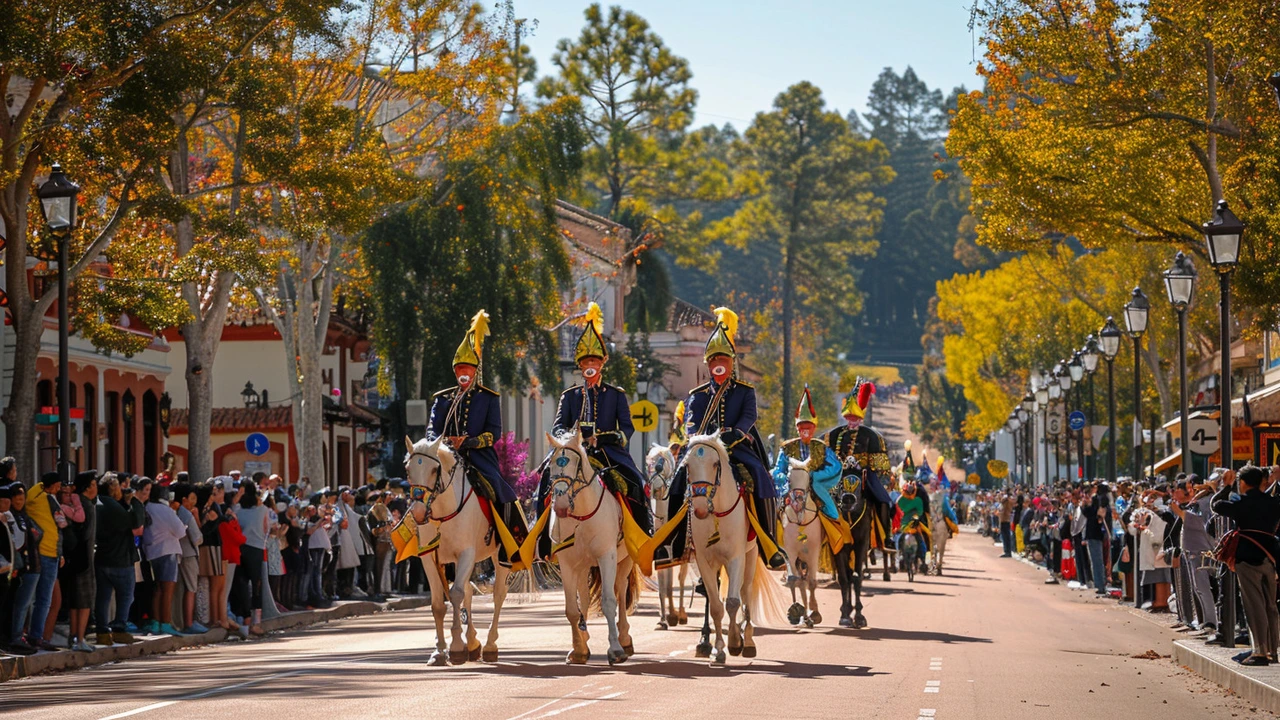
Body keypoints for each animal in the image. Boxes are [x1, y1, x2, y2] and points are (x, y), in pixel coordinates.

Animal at [407, 430, 512, 661]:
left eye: (434, 469)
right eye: (408, 470)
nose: (418, 512)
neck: (442, 512)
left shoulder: (466, 554)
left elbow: (455, 594)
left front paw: (455, 647)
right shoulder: (430, 557)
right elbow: (439, 603)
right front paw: (439, 651)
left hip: (498, 556)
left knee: (498, 594)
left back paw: (490, 645)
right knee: (469, 592)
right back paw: (472, 643)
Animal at [542, 427, 637, 666]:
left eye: (576, 464)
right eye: (550, 466)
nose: (561, 505)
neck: (582, 515)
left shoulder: (607, 556)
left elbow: (609, 602)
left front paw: (615, 649)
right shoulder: (567, 563)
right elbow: (571, 609)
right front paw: (578, 649)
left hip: (625, 560)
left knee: (620, 591)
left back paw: (624, 639)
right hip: (583, 565)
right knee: (583, 597)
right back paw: (584, 638)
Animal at [686, 427, 752, 666]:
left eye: (715, 464)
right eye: (687, 465)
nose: (700, 508)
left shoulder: (736, 558)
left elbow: (732, 602)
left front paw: (734, 642)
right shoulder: (705, 561)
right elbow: (716, 606)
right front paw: (719, 650)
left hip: (751, 556)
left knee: (746, 592)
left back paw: (748, 641)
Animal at [778, 456, 829, 625]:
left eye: (808, 479)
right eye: (788, 479)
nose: (798, 501)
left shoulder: (813, 552)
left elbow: (812, 582)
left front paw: (815, 612)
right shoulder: (791, 552)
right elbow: (798, 582)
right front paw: (797, 610)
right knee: (799, 582)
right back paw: (803, 615)